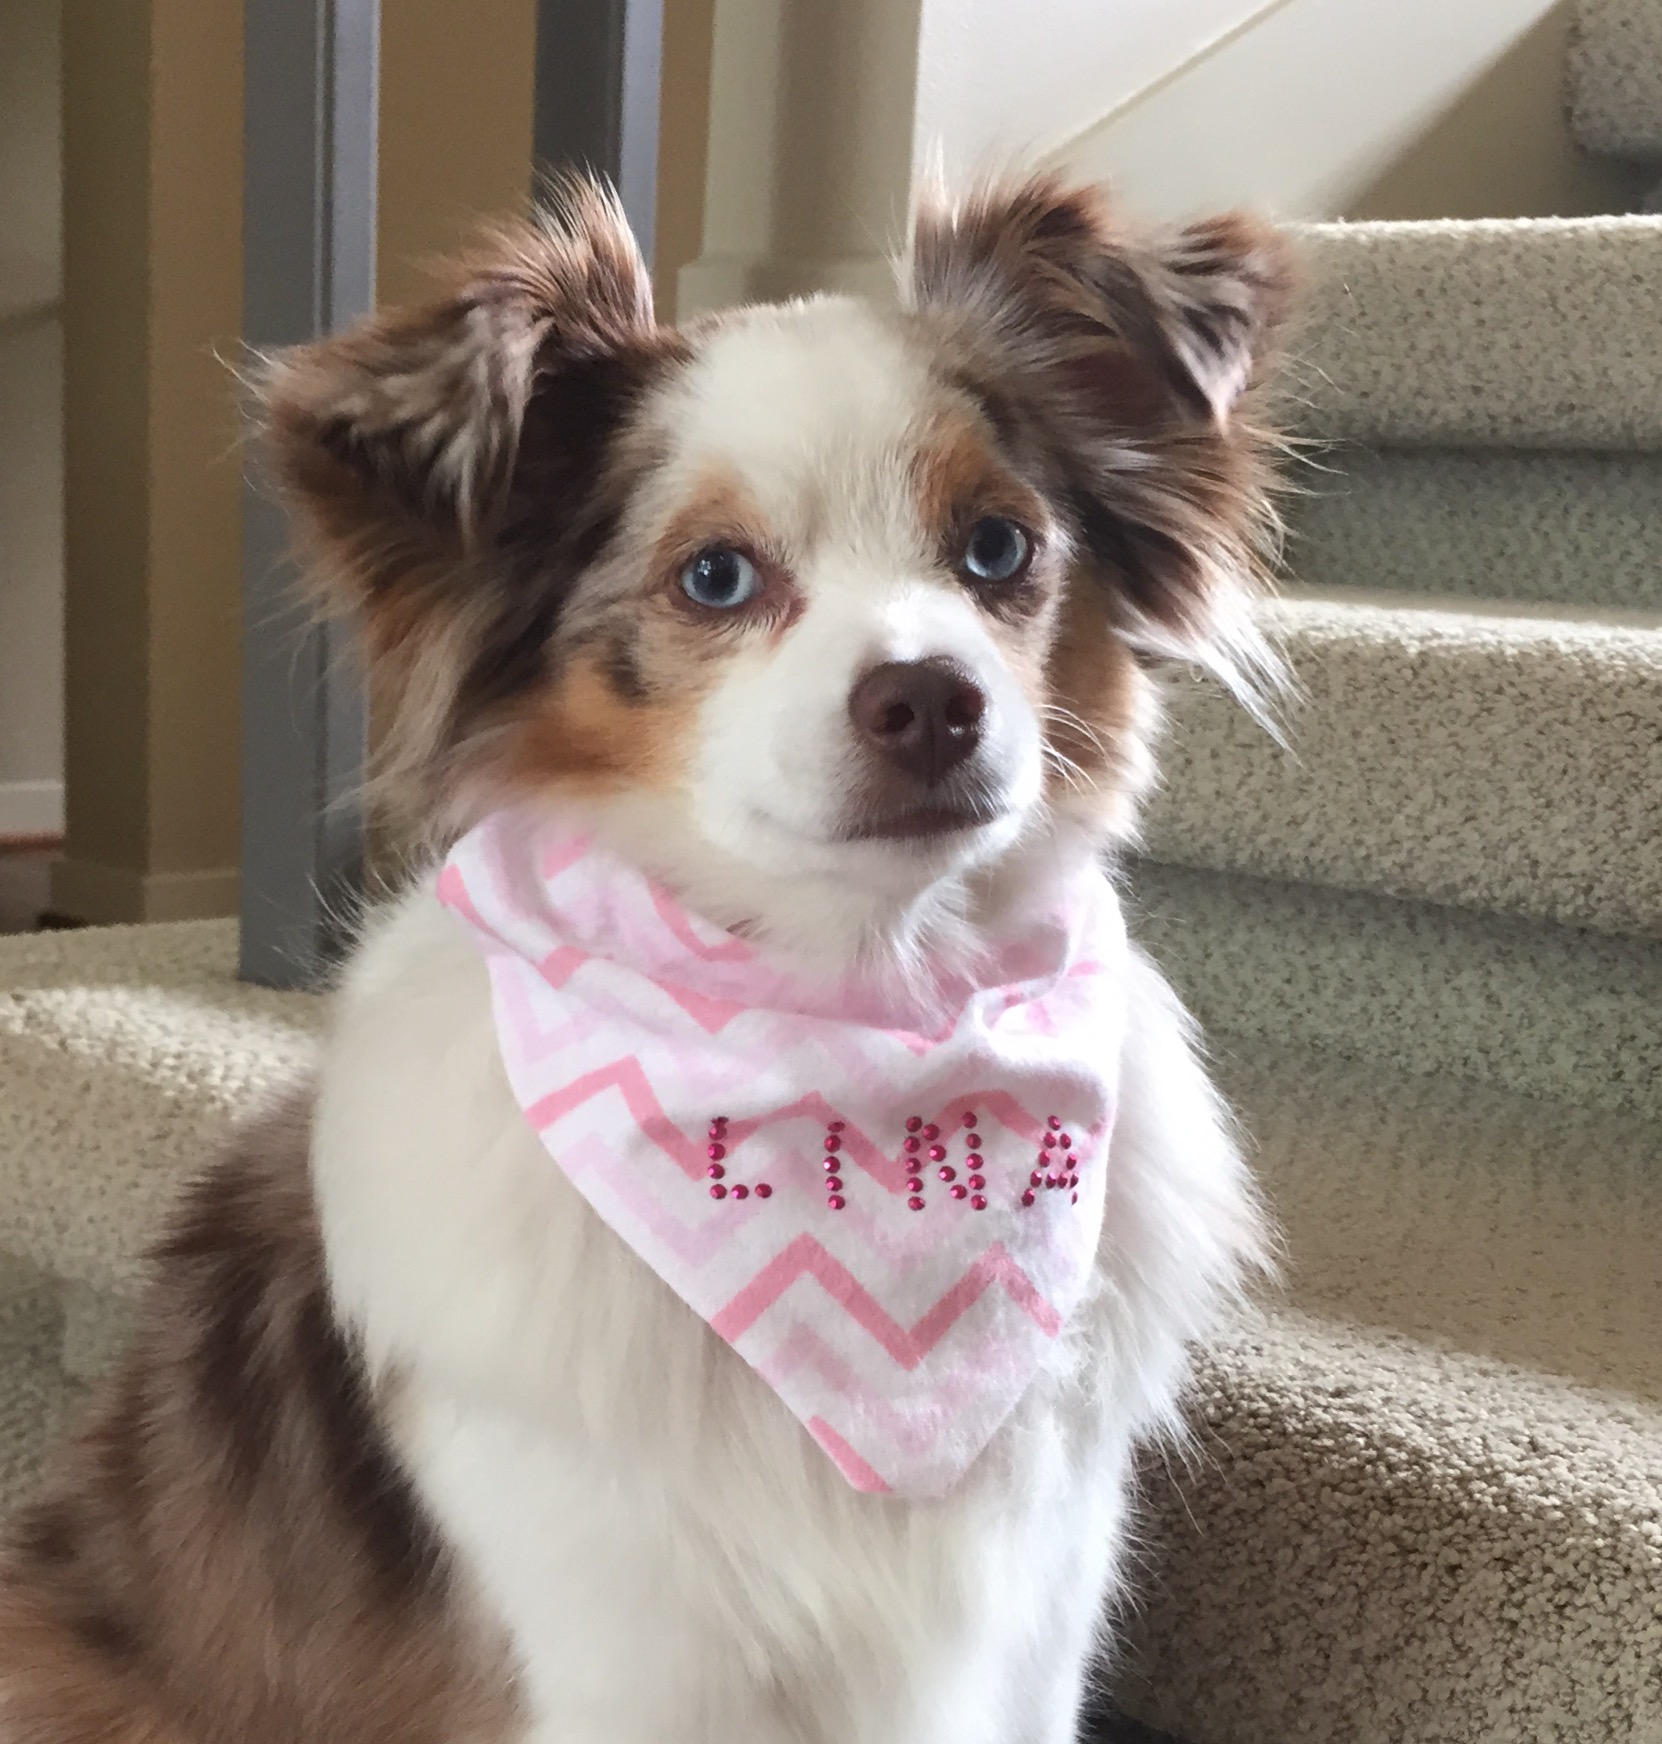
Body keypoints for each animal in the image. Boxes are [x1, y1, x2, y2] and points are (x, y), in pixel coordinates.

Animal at [0, 173, 1289, 1743]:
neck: (856, 1007)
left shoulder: (1030, 1624)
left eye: (998, 548)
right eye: (715, 577)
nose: (933, 701)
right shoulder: (621, 1644)